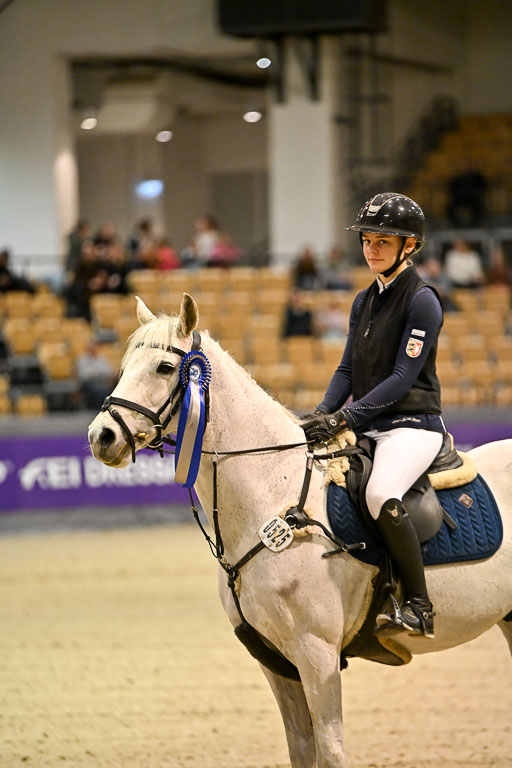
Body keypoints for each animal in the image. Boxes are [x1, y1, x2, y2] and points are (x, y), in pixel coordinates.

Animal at [88, 293, 512, 768]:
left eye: (164, 368)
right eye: (125, 365)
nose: (101, 436)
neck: (274, 492)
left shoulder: (316, 653)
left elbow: (330, 750)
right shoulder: (276, 661)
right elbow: (302, 750)